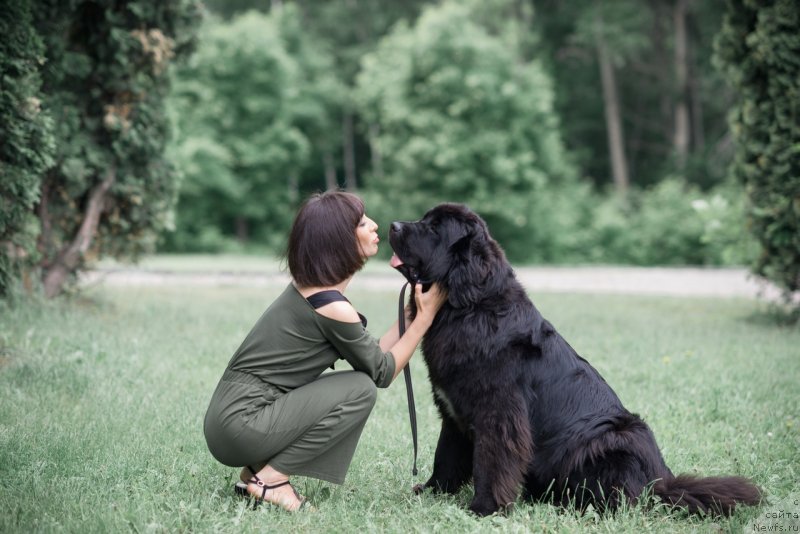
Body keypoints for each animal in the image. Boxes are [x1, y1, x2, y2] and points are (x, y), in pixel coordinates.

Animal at [390, 204, 764, 520]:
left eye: (434, 228)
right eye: (424, 219)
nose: (392, 225)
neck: (467, 307)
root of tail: (662, 482)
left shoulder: (500, 415)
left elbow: (493, 462)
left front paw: (485, 507)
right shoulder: (453, 412)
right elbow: (446, 455)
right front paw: (433, 491)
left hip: (613, 440)